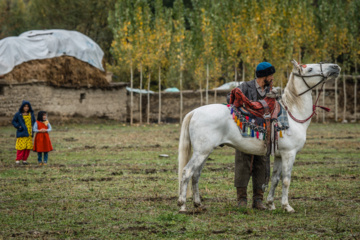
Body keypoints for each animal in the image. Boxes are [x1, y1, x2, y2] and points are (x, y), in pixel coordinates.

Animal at [177, 60, 340, 212]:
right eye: (310, 69)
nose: (335, 67)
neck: (293, 114)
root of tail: (195, 111)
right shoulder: (289, 154)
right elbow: (286, 180)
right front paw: (286, 206)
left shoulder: (279, 155)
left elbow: (275, 179)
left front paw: (270, 204)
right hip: (201, 152)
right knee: (187, 172)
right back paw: (182, 205)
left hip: (205, 152)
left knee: (196, 175)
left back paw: (198, 204)